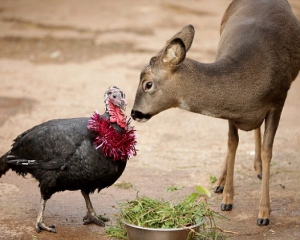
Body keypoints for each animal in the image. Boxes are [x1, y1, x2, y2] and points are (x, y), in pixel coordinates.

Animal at [131, 0, 300, 225]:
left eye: (148, 84)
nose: (134, 113)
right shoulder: (232, 112)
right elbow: (232, 143)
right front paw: (227, 198)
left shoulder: (279, 99)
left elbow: (267, 150)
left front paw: (264, 213)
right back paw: (222, 181)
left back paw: (258, 169)